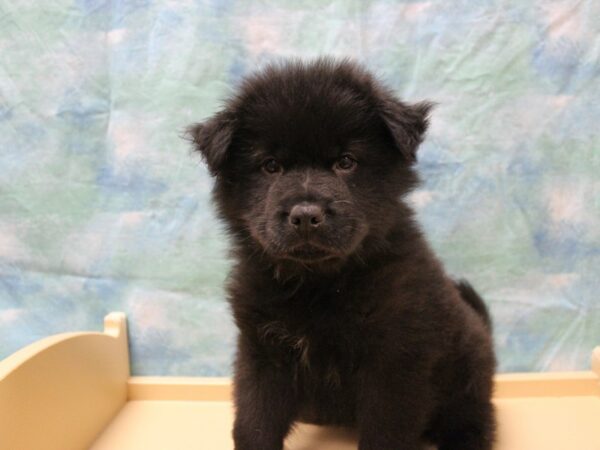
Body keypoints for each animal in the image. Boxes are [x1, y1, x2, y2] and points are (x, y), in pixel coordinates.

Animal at [189, 59, 496, 450]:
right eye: (270, 166)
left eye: (345, 162)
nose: (306, 215)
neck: (319, 285)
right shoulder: (262, 351)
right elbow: (254, 422)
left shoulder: (395, 361)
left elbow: (385, 433)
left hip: (466, 378)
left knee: (474, 420)